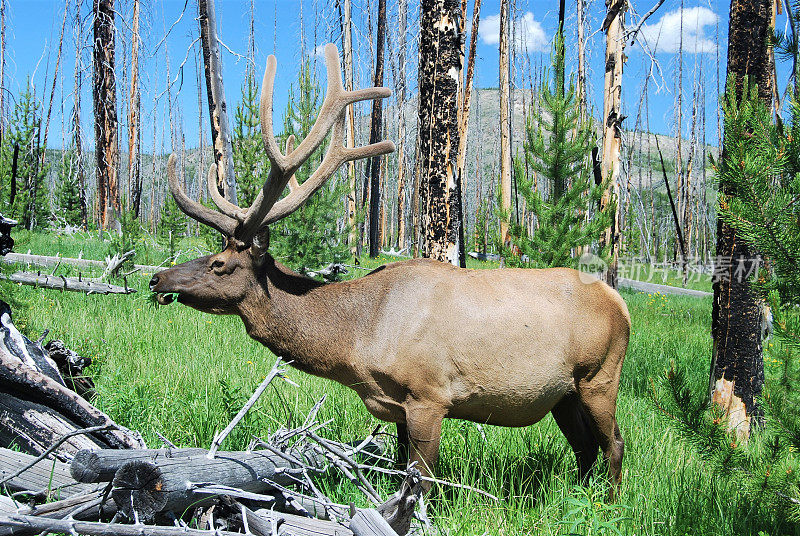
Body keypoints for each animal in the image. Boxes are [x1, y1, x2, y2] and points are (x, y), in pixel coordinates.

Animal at [152, 44, 632, 492]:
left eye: (219, 264)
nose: (157, 277)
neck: (359, 340)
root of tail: (620, 303)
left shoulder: (429, 396)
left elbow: (422, 479)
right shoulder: (397, 404)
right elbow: (403, 469)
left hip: (600, 376)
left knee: (613, 443)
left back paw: (608, 503)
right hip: (563, 394)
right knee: (585, 447)